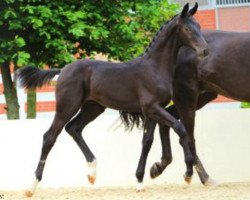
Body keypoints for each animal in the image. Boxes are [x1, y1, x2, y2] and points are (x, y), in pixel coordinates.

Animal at [15, 3, 207, 197]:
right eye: (188, 28)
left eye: (199, 26)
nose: (205, 50)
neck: (154, 68)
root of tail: (62, 70)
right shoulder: (152, 108)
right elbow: (180, 128)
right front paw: (188, 173)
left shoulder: (152, 111)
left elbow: (147, 141)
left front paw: (140, 181)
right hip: (66, 107)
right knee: (50, 137)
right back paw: (31, 187)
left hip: (93, 108)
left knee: (74, 128)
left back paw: (92, 173)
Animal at [122, 28, 250, 188]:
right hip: (186, 95)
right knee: (187, 136)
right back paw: (201, 177)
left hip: (201, 96)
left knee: (168, 122)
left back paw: (158, 167)